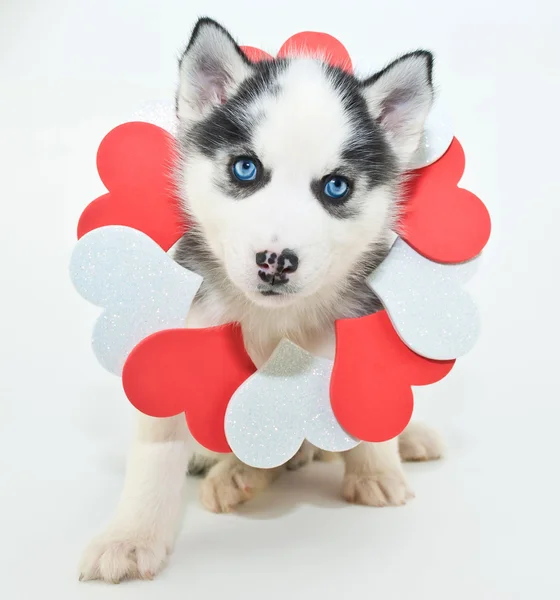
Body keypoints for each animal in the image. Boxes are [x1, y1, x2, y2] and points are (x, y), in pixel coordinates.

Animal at [80, 17, 446, 580]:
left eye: (336, 187)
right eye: (245, 169)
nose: (276, 261)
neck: (277, 323)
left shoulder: (358, 326)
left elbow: (368, 409)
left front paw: (376, 469)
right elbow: (155, 453)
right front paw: (130, 536)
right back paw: (235, 471)